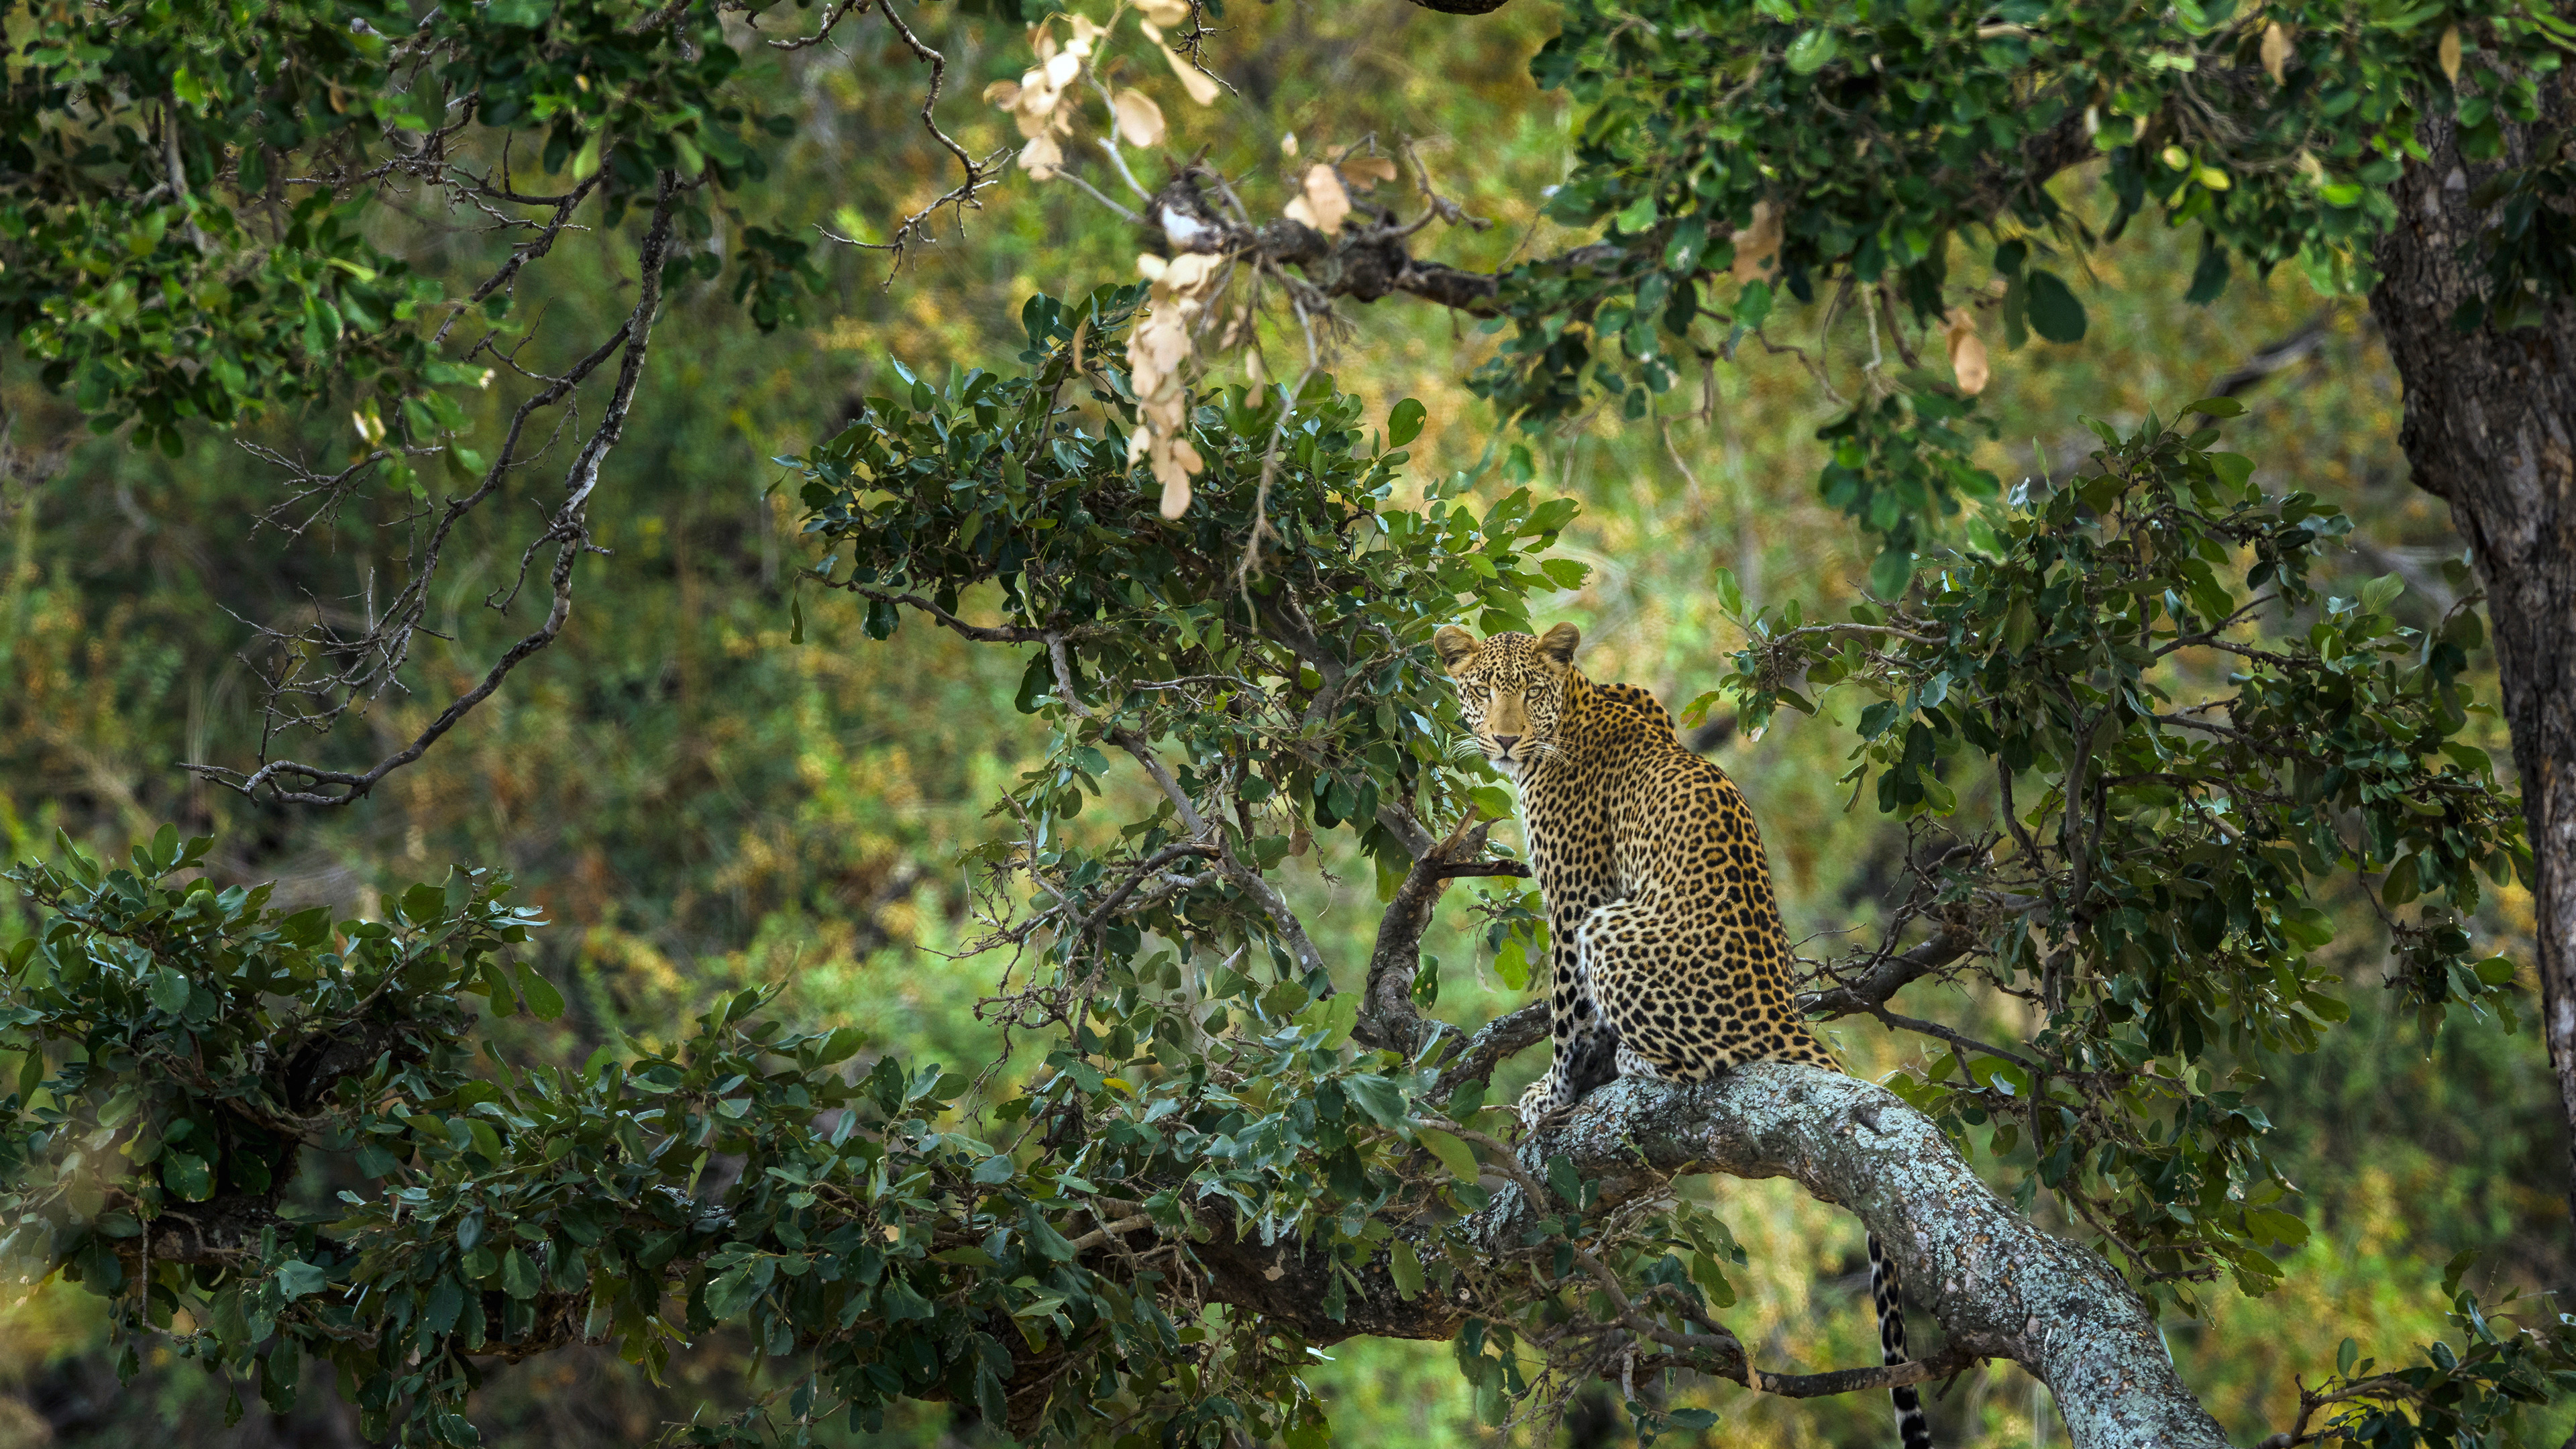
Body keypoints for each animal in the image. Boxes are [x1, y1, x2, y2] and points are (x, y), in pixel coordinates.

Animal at [1442, 619, 1927, 1444]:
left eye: (1528, 691)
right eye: (1481, 690)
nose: (1504, 739)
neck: (1574, 710)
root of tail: (1779, 1008)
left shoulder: (1578, 898)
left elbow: (1568, 1015)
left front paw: (1555, 1095)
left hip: (1614, 925)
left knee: (1698, 1061)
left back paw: (1637, 1064)